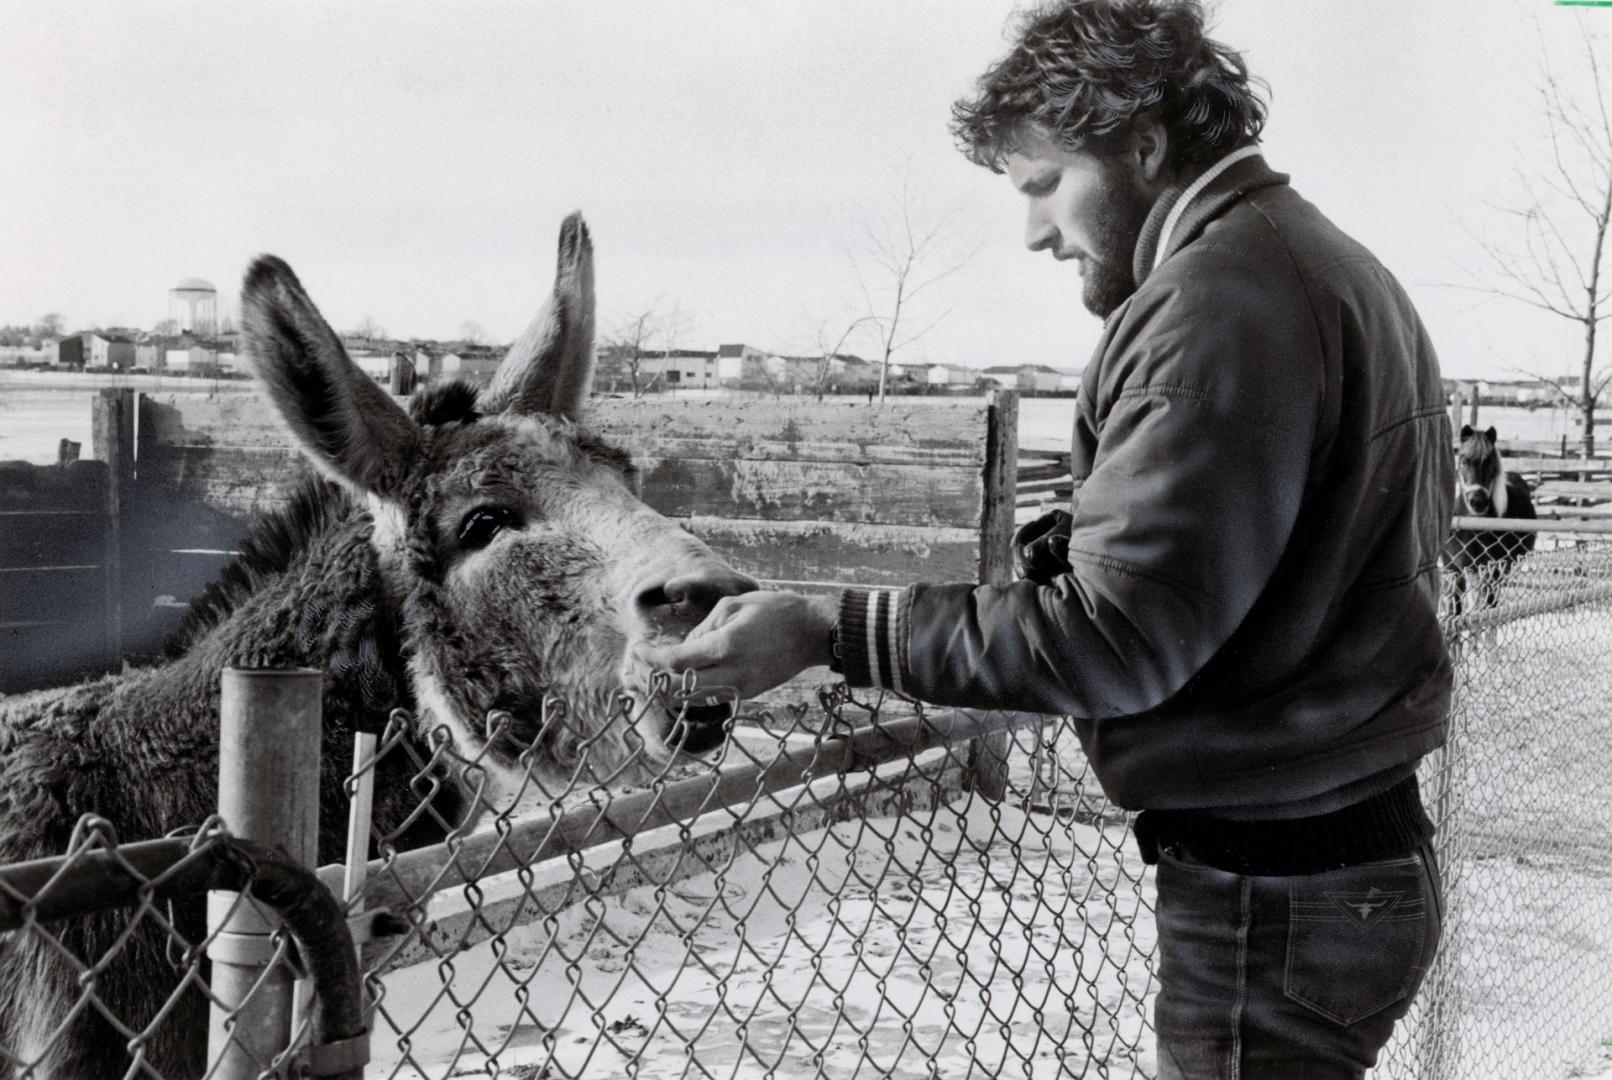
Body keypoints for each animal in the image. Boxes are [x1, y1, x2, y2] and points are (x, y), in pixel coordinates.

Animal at [1450, 428, 1534, 622]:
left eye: (1490, 462)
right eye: (1464, 460)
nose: (1478, 502)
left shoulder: (1493, 567)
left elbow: (1487, 605)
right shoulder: (1454, 566)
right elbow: (1456, 604)